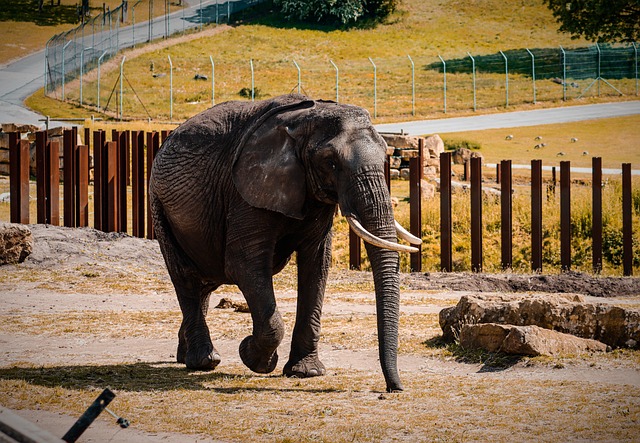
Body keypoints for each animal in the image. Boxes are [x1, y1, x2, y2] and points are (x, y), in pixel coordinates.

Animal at [149, 94, 421, 392]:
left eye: (385, 155)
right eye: (330, 162)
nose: (395, 388)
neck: (304, 122)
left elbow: (316, 265)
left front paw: (306, 372)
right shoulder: (245, 192)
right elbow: (243, 265)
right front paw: (254, 358)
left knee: (204, 283)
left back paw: (184, 355)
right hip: (159, 206)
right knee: (185, 277)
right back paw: (204, 361)